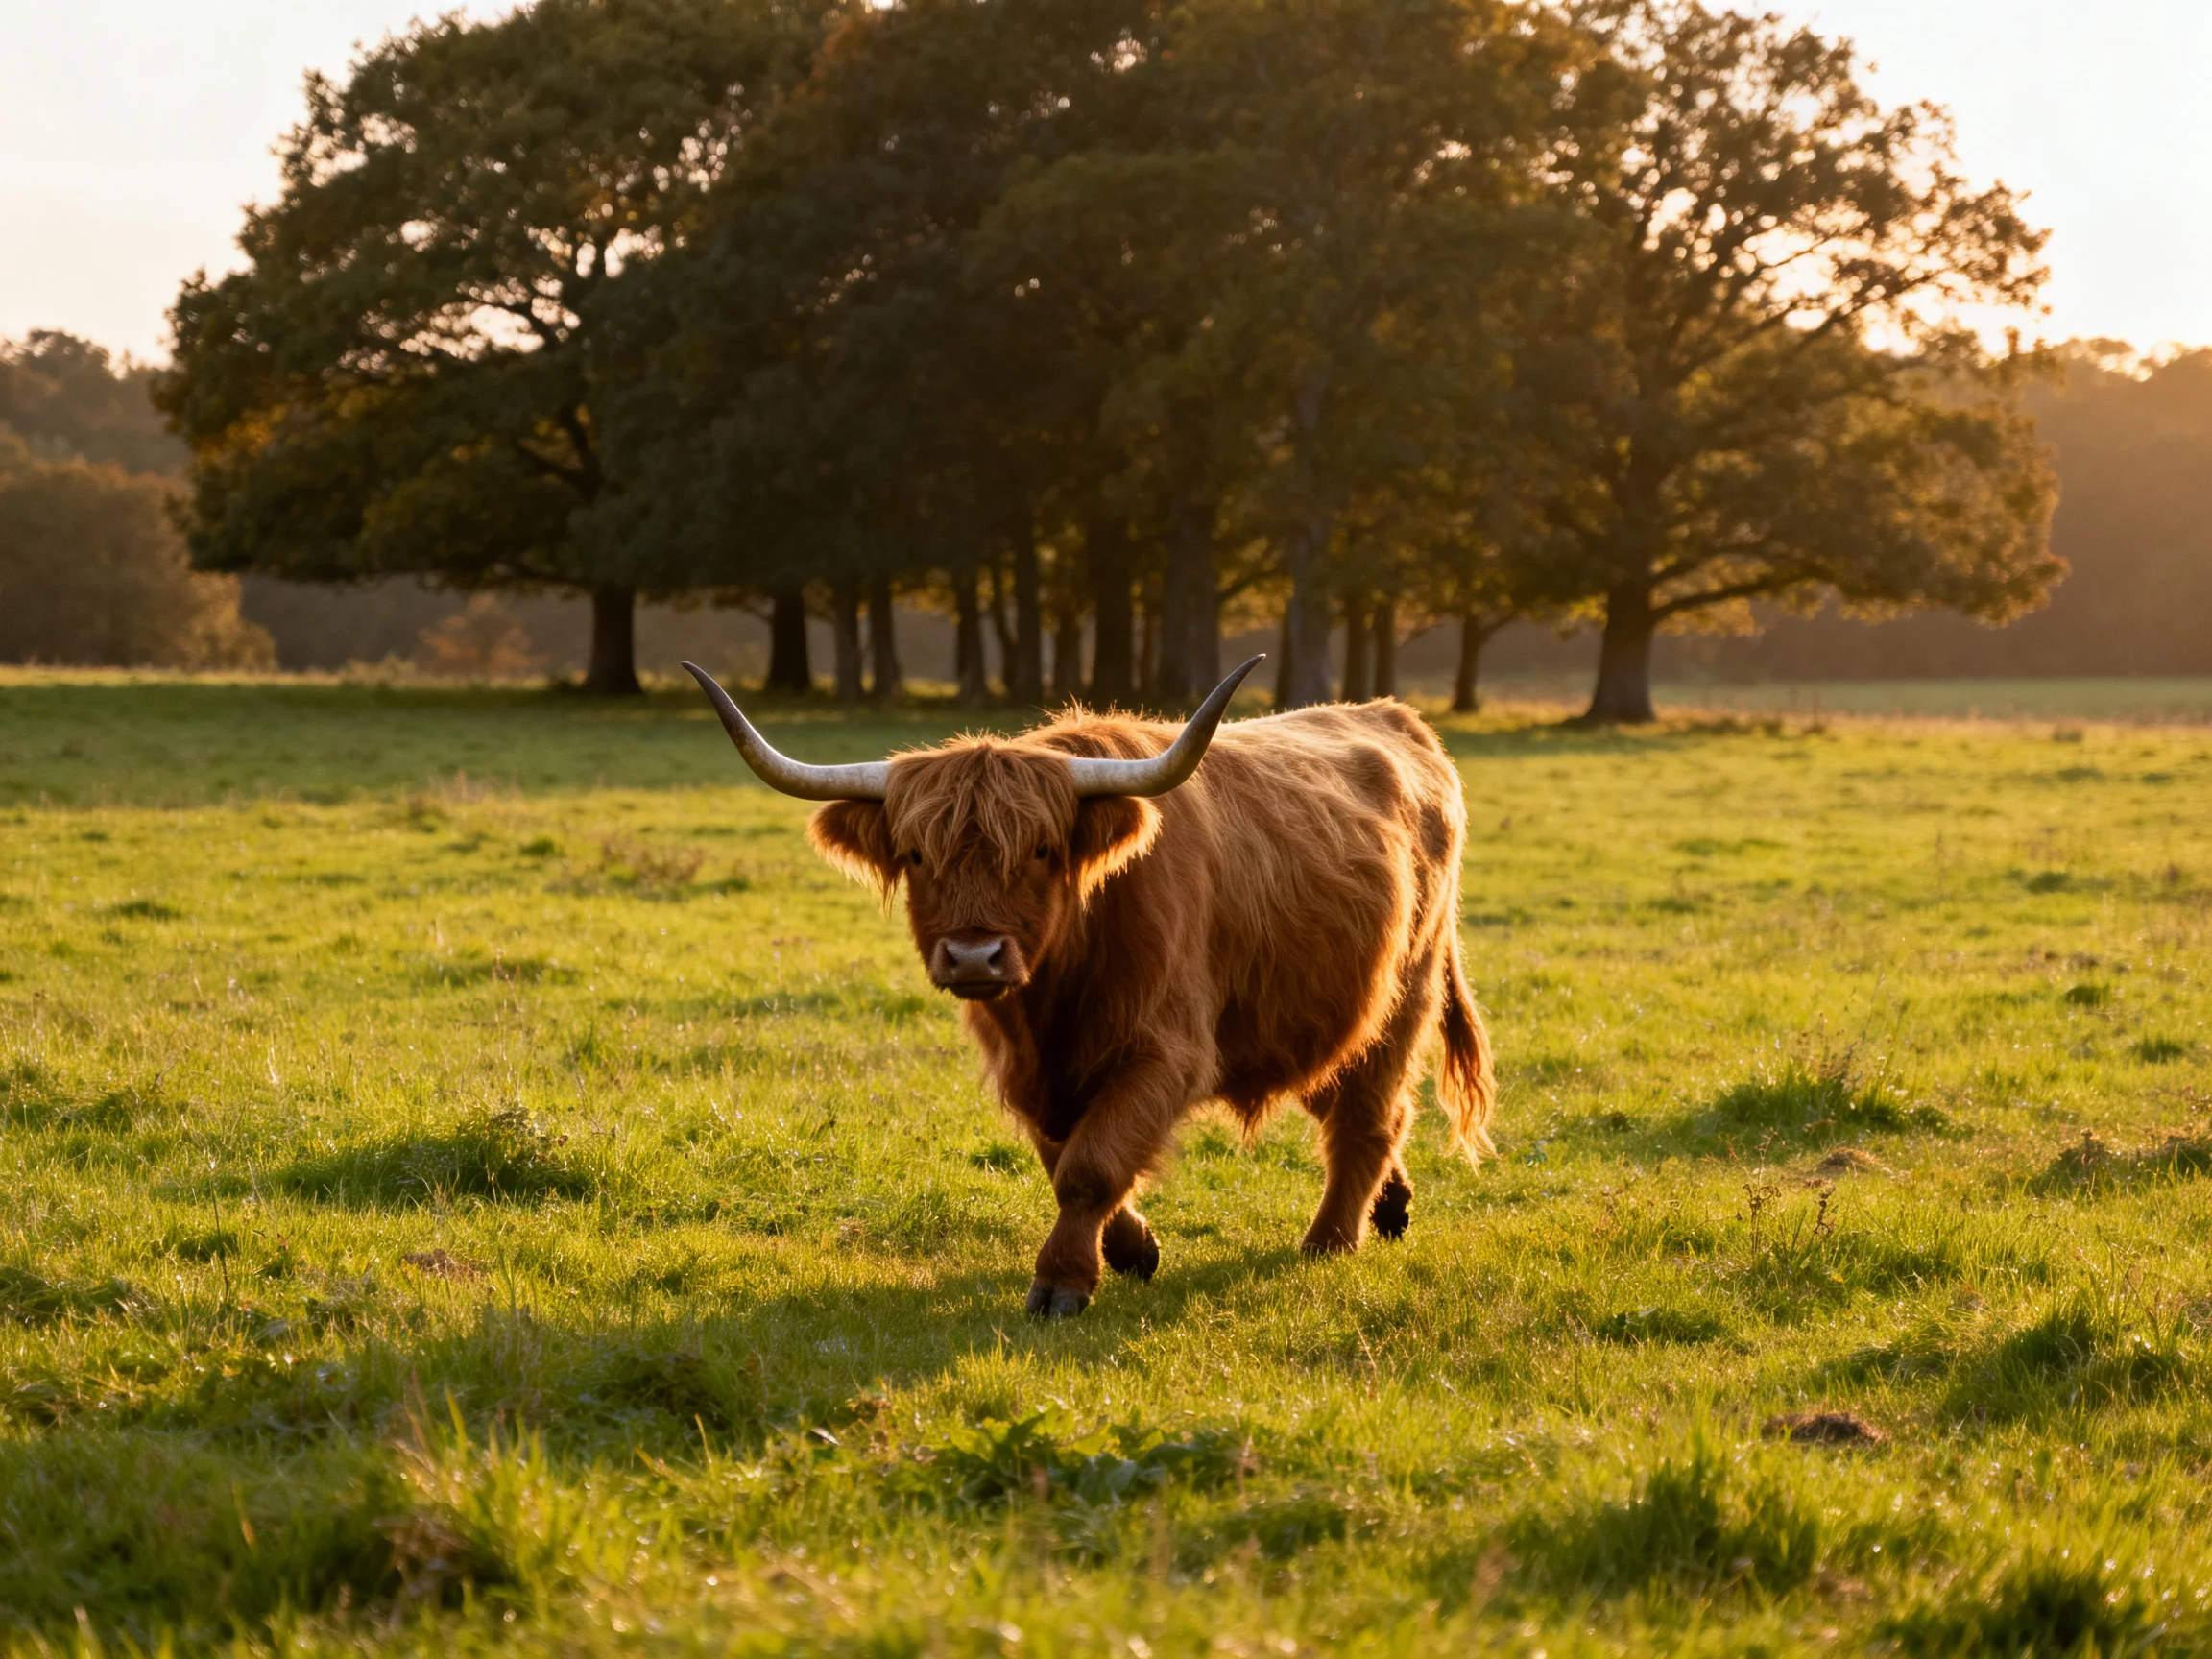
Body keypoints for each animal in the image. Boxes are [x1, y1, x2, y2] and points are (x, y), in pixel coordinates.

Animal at [683, 657, 1495, 1318]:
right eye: (915, 854)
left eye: (1043, 850)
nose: (974, 956)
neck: (1055, 999)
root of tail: (1393, 717)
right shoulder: (1030, 1071)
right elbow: (1066, 1153)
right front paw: (1132, 1248)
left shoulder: (1167, 1048)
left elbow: (1091, 1164)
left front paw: (1063, 1282)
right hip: (1302, 1012)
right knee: (1339, 1095)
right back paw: (1391, 1207)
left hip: (1405, 993)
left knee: (1368, 1114)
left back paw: (1330, 1240)